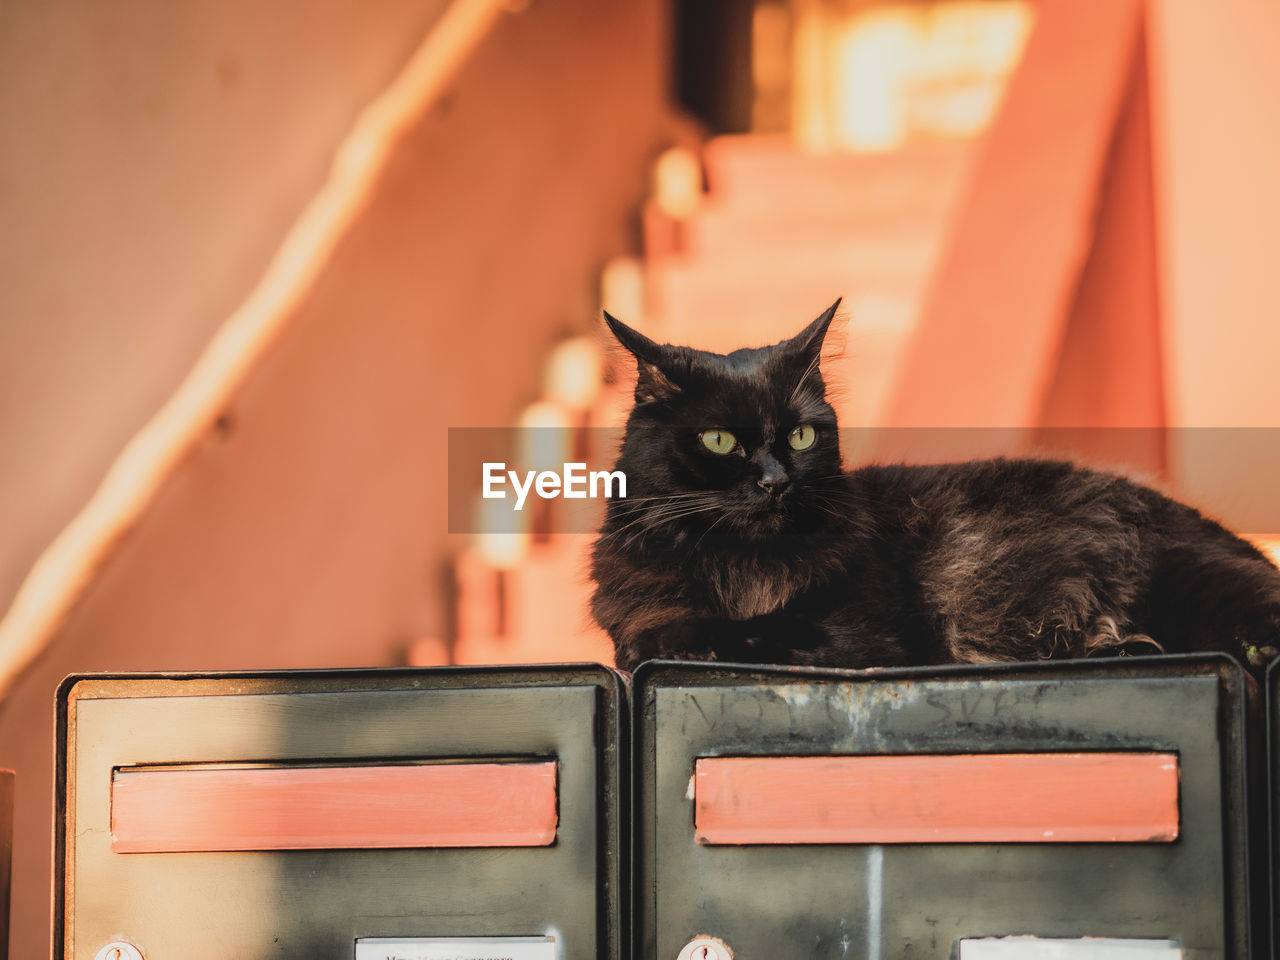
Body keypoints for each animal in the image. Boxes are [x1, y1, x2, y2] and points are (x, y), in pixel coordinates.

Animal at [588, 304, 1280, 680]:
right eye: (720, 442)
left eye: (803, 436)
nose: (775, 481)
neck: (743, 567)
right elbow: (650, 631)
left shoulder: (859, 637)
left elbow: (752, 633)